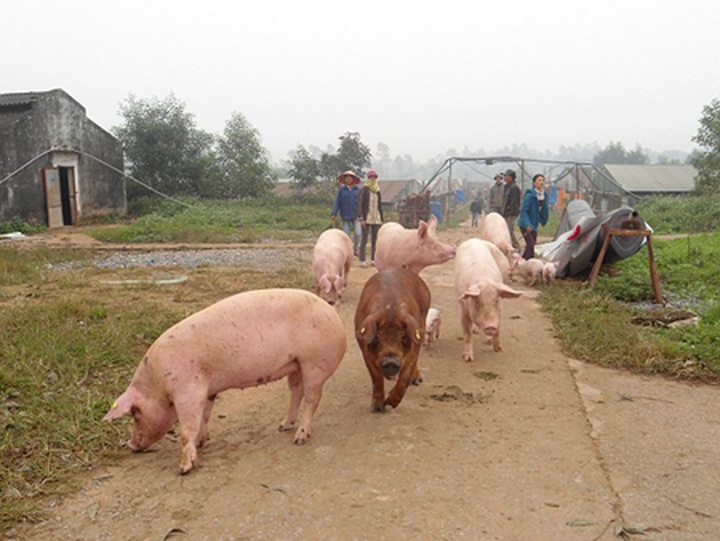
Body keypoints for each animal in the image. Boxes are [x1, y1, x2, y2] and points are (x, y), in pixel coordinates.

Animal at [103, 288, 347, 474]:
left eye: (135, 413)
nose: (130, 445)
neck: (157, 383)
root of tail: (332, 312)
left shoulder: (188, 392)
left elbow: (186, 429)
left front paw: (184, 468)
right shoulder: (208, 390)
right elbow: (205, 416)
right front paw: (202, 442)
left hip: (314, 362)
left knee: (312, 398)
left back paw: (300, 438)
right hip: (295, 363)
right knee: (296, 391)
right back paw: (283, 426)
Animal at [355, 268, 431, 411]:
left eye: (403, 336)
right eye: (377, 336)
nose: (391, 361)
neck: (390, 310)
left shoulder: (414, 348)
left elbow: (405, 377)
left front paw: (391, 404)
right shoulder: (365, 351)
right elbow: (376, 377)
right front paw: (377, 408)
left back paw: (417, 380)